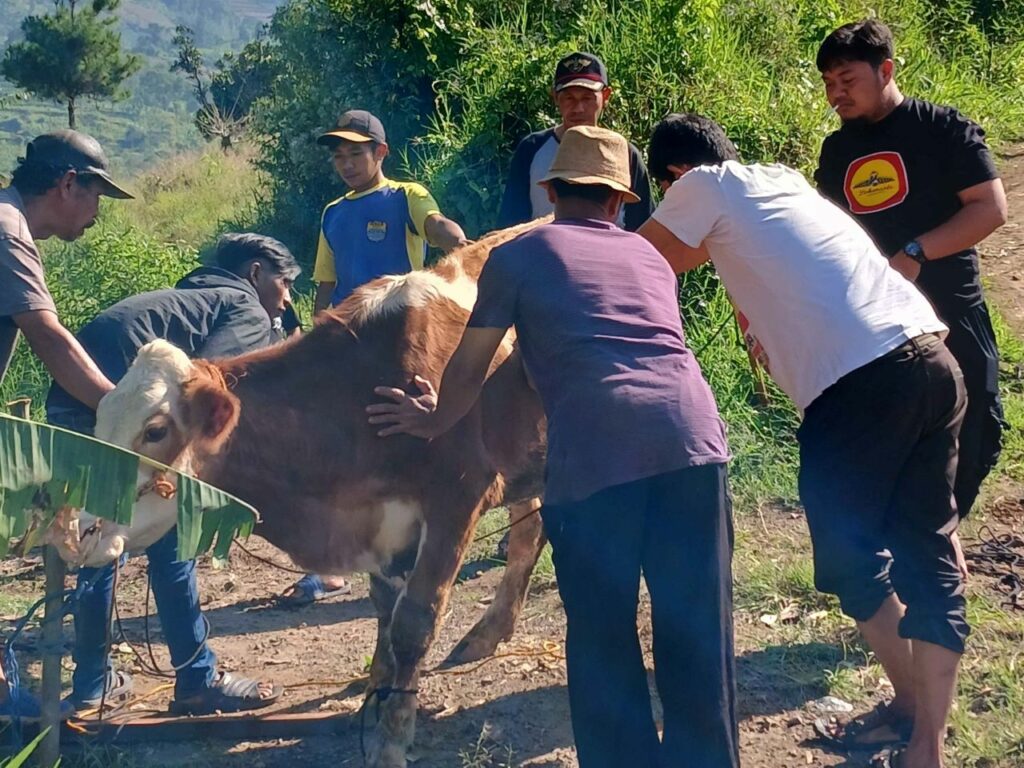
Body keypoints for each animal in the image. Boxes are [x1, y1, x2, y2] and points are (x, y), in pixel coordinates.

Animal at [74, 219, 548, 765]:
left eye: (154, 431)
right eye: (99, 420)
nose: (84, 531)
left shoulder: (456, 501)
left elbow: (413, 623)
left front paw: (391, 737)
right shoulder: (381, 524)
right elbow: (384, 612)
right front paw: (374, 698)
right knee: (531, 531)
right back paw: (487, 634)